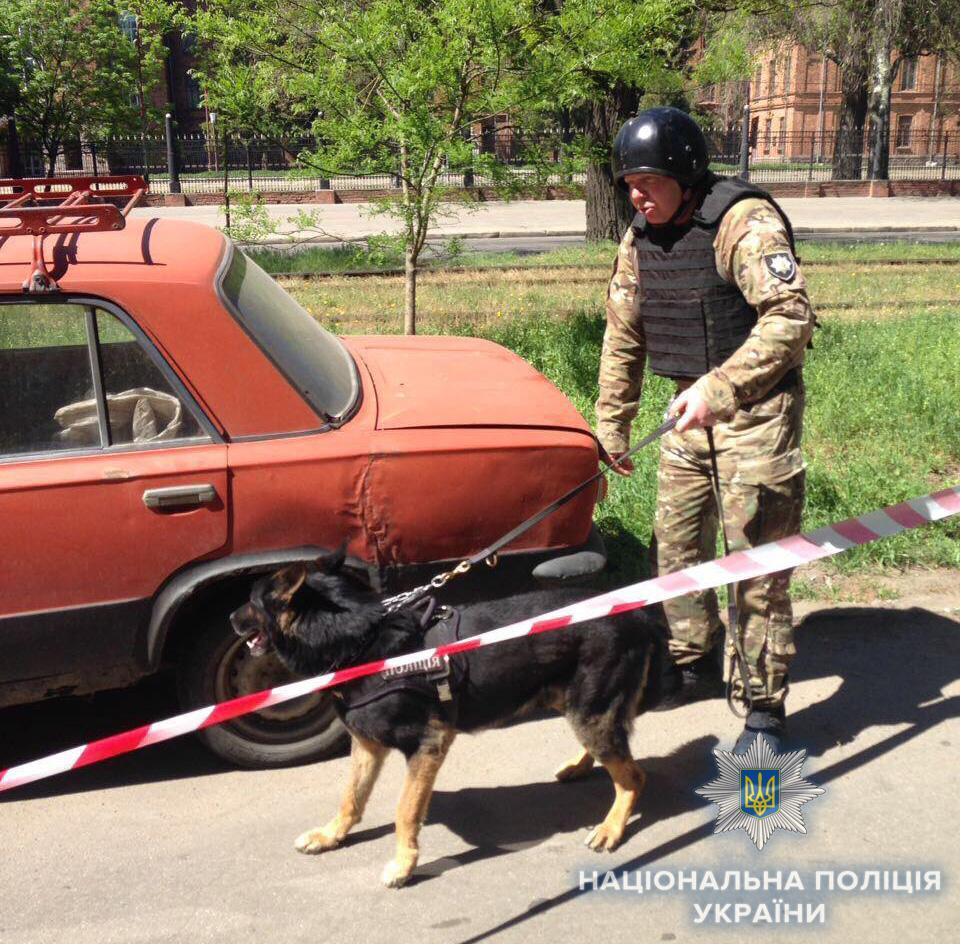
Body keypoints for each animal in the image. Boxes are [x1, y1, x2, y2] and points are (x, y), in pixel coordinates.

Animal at [232, 548, 664, 888]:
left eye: (250, 600)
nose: (230, 619)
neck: (360, 641)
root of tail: (636, 615)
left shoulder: (429, 743)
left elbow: (405, 811)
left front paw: (404, 865)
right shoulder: (367, 745)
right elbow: (351, 797)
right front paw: (330, 835)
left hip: (590, 710)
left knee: (632, 776)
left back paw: (611, 827)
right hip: (576, 705)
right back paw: (579, 766)